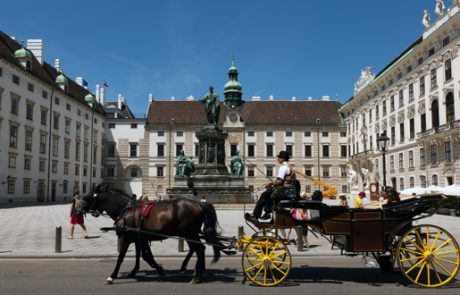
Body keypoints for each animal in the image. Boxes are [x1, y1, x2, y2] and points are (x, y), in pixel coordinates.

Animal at [76, 186, 226, 286]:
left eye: (87, 196)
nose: (77, 210)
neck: (125, 210)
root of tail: (199, 203)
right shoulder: (140, 238)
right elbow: (144, 256)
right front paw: (153, 271)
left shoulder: (126, 238)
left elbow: (122, 257)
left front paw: (112, 276)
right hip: (190, 234)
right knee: (198, 249)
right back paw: (197, 273)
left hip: (189, 233)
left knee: (199, 249)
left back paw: (196, 276)